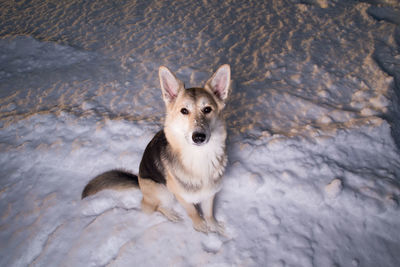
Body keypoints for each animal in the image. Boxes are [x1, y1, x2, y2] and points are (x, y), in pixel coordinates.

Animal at [81, 65, 231, 234]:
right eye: (184, 111)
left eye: (207, 109)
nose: (199, 137)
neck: (199, 156)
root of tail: (139, 181)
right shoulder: (180, 195)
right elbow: (193, 212)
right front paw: (200, 227)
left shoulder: (210, 192)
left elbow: (209, 213)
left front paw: (214, 226)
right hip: (163, 191)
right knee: (152, 206)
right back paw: (171, 214)